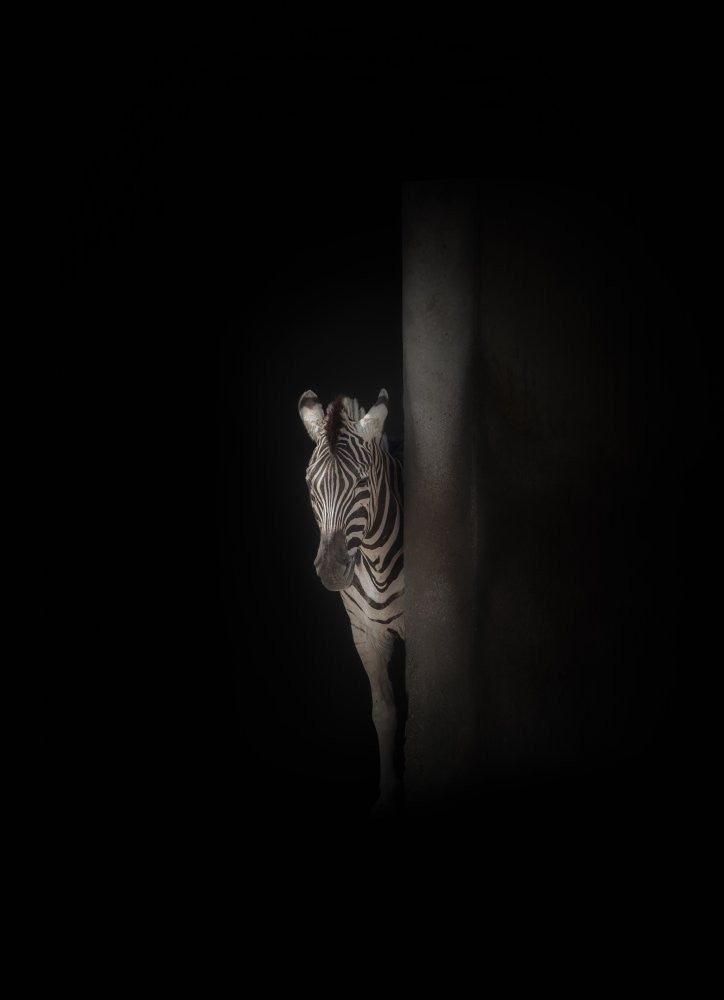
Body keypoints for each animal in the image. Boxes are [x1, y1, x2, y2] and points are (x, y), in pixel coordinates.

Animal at [298, 388, 404, 812]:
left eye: (361, 483)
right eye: (309, 484)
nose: (330, 570)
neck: (374, 558)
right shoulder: (364, 634)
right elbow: (383, 712)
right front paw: (387, 795)